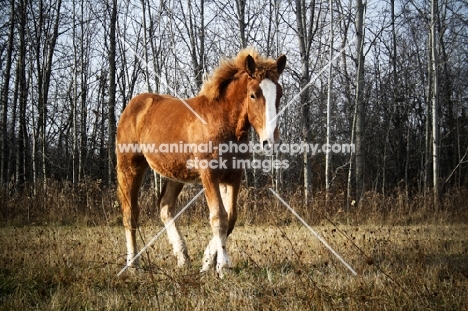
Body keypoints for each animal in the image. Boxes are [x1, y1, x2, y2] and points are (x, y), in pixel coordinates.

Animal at [115, 48, 288, 278]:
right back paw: (134, 264)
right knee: (130, 213)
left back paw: (182, 257)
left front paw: (207, 262)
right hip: (130, 166)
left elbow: (230, 217)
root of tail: (132, 105)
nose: (271, 141)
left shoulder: (232, 176)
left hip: (175, 173)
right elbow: (218, 217)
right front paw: (222, 266)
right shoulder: (209, 175)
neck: (223, 122)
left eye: (279, 94)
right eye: (253, 94)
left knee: (165, 207)